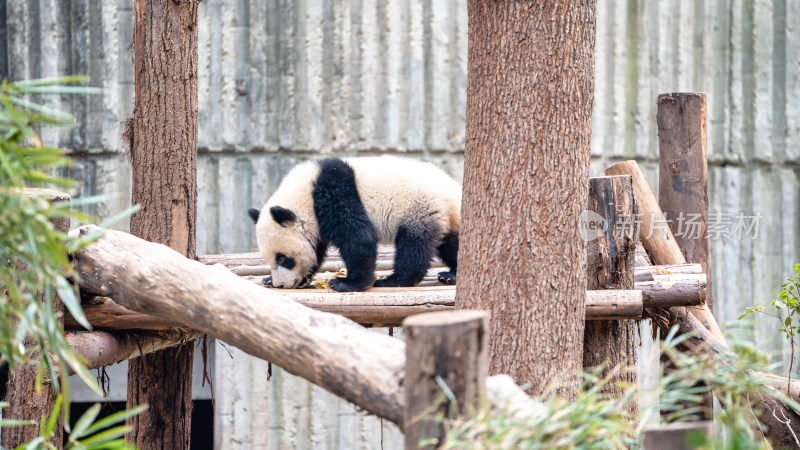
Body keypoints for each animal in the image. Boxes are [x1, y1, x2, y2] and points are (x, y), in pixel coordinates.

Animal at [250, 156, 462, 294]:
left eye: (283, 259)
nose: (280, 285)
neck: (304, 195)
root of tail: (453, 192)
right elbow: (316, 251)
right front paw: (270, 279)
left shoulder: (334, 193)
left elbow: (358, 238)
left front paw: (347, 283)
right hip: (438, 214)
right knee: (451, 243)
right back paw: (451, 274)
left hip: (418, 208)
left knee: (414, 246)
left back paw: (395, 280)